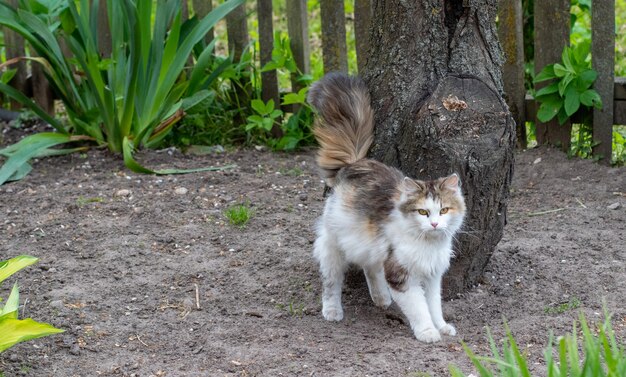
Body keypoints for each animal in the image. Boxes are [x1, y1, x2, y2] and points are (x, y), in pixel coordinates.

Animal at [308, 72, 464, 342]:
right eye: (423, 212)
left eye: (443, 210)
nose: (434, 224)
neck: (428, 244)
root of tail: (354, 163)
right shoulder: (402, 276)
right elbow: (420, 308)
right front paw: (428, 332)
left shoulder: (433, 276)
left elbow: (434, 305)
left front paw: (442, 326)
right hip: (333, 246)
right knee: (331, 282)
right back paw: (332, 310)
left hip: (369, 243)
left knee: (370, 267)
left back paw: (381, 298)